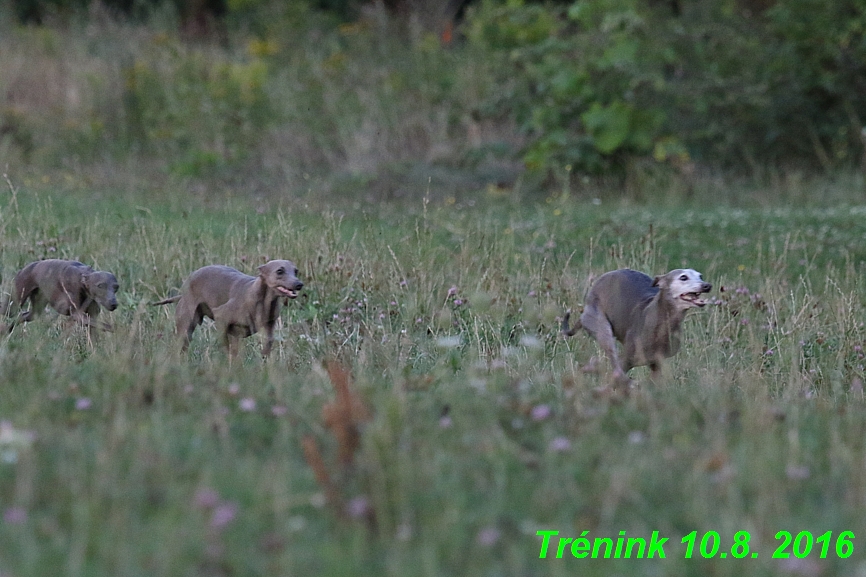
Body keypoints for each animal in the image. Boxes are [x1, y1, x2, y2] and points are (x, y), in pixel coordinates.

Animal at [152, 260, 304, 358]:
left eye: (296, 271)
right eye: (280, 271)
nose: (299, 284)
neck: (263, 301)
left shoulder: (267, 329)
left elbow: (266, 347)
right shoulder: (221, 318)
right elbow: (226, 349)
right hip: (186, 327)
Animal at [560, 268, 708, 384]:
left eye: (700, 276)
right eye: (683, 277)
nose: (707, 285)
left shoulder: (657, 363)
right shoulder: (626, 360)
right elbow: (616, 376)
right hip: (602, 327)